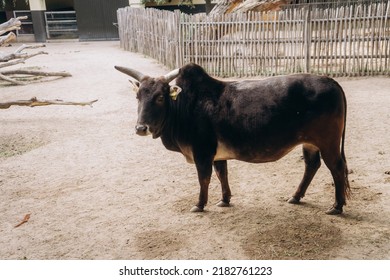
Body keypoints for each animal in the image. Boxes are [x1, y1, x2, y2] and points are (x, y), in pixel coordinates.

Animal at [116, 63, 350, 214]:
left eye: (160, 97)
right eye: (138, 96)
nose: (141, 128)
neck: (184, 106)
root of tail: (331, 81)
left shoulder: (202, 152)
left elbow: (204, 178)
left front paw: (200, 204)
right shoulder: (216, 154)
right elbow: (222, 174)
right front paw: (224, 200)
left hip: (328, 142)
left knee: (337, 168)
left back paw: (337, 206)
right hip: (309, 143)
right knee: (312, 165)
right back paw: (296, 196)